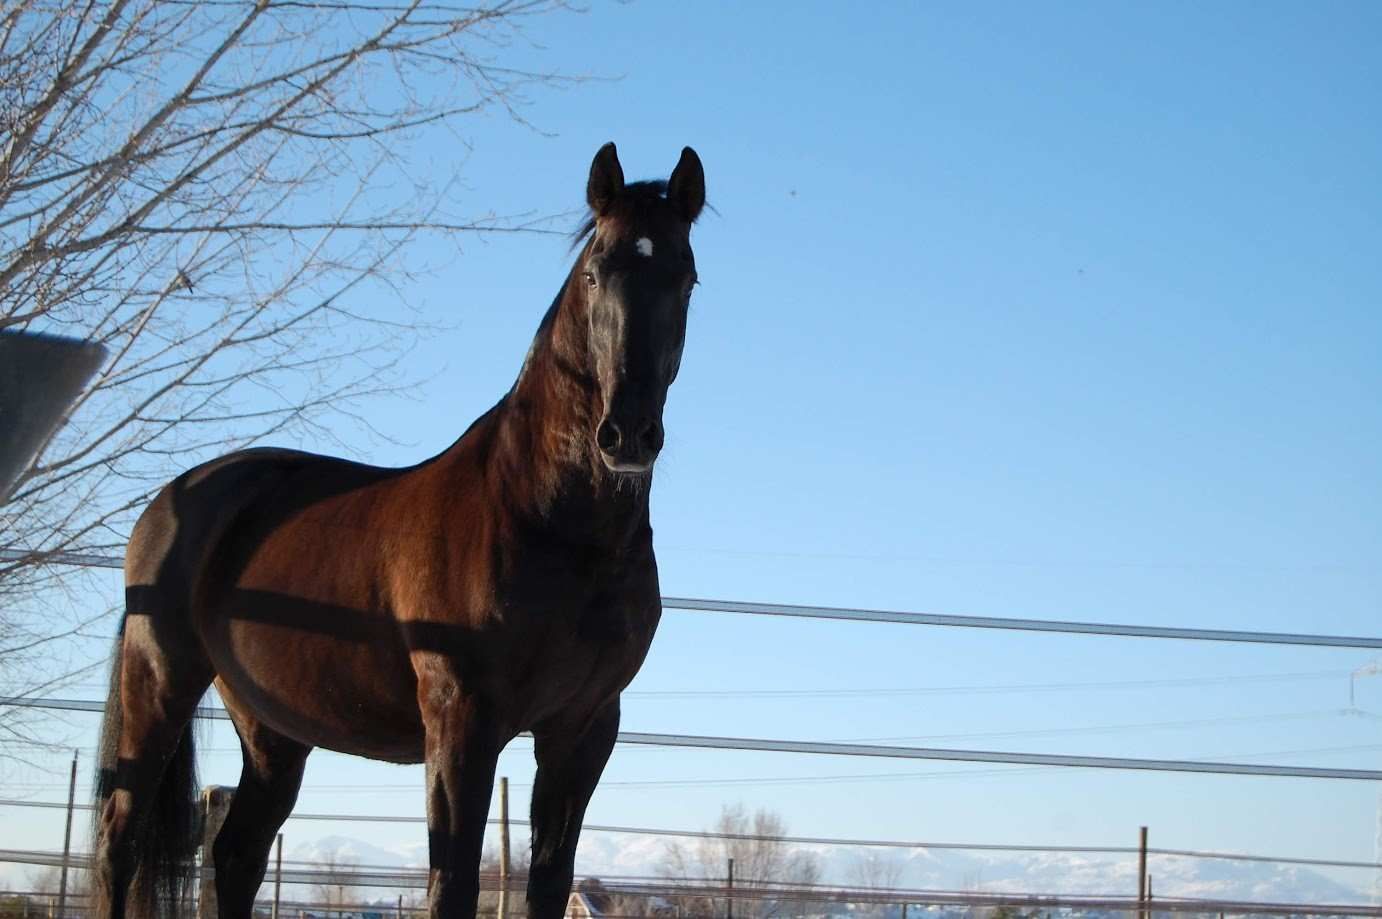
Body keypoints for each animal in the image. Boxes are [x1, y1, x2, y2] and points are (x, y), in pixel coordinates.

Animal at [92, 142, 705, 919]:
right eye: (596, 271)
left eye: (685, 277)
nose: (626, 435)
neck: (546, 521)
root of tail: (170, 502)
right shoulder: (460, 720)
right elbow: (453, 883)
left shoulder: (583, 727)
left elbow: (548, 882)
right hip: (158, 684)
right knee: (120, 840)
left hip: (273, 730)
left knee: (236, 855)